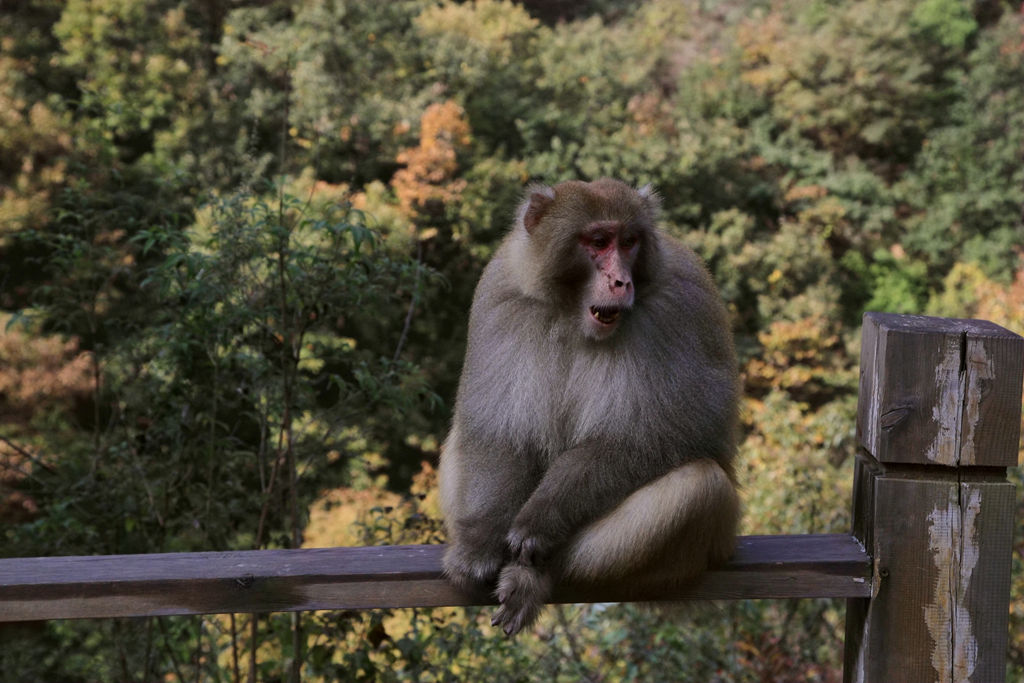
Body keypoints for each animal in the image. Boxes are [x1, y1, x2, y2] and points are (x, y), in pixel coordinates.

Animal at [436, 176, 741, 634]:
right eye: (598, 242)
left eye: (629, 242)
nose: (621, 282)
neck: (572, 315)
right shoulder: (501, 294)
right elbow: (498, 431)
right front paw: (479, 543)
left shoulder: (680, 305)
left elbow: (670, 433)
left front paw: (541, 521)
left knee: (701, 486)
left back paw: (536, 575)